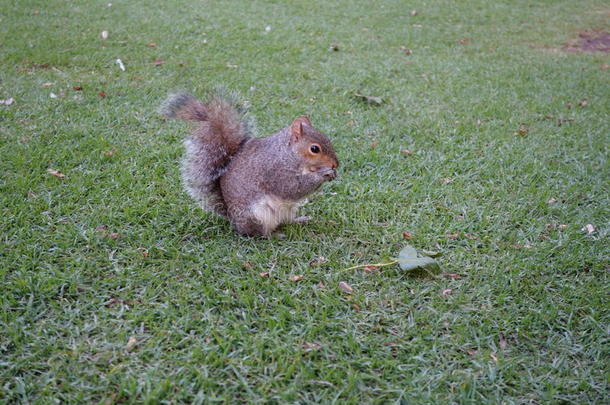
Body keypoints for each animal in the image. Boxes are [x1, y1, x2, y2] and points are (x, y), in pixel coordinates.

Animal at [160, 92, 338, 237]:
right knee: (257, 233)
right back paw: (274, 235)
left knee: (285, 221)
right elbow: (293, 188)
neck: (287, 154)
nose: (335, 164)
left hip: (287, 210)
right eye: (314, 149)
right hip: (256, 215)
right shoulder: (274, 170)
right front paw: (324, 174)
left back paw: (300, 220)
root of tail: (233, 220)